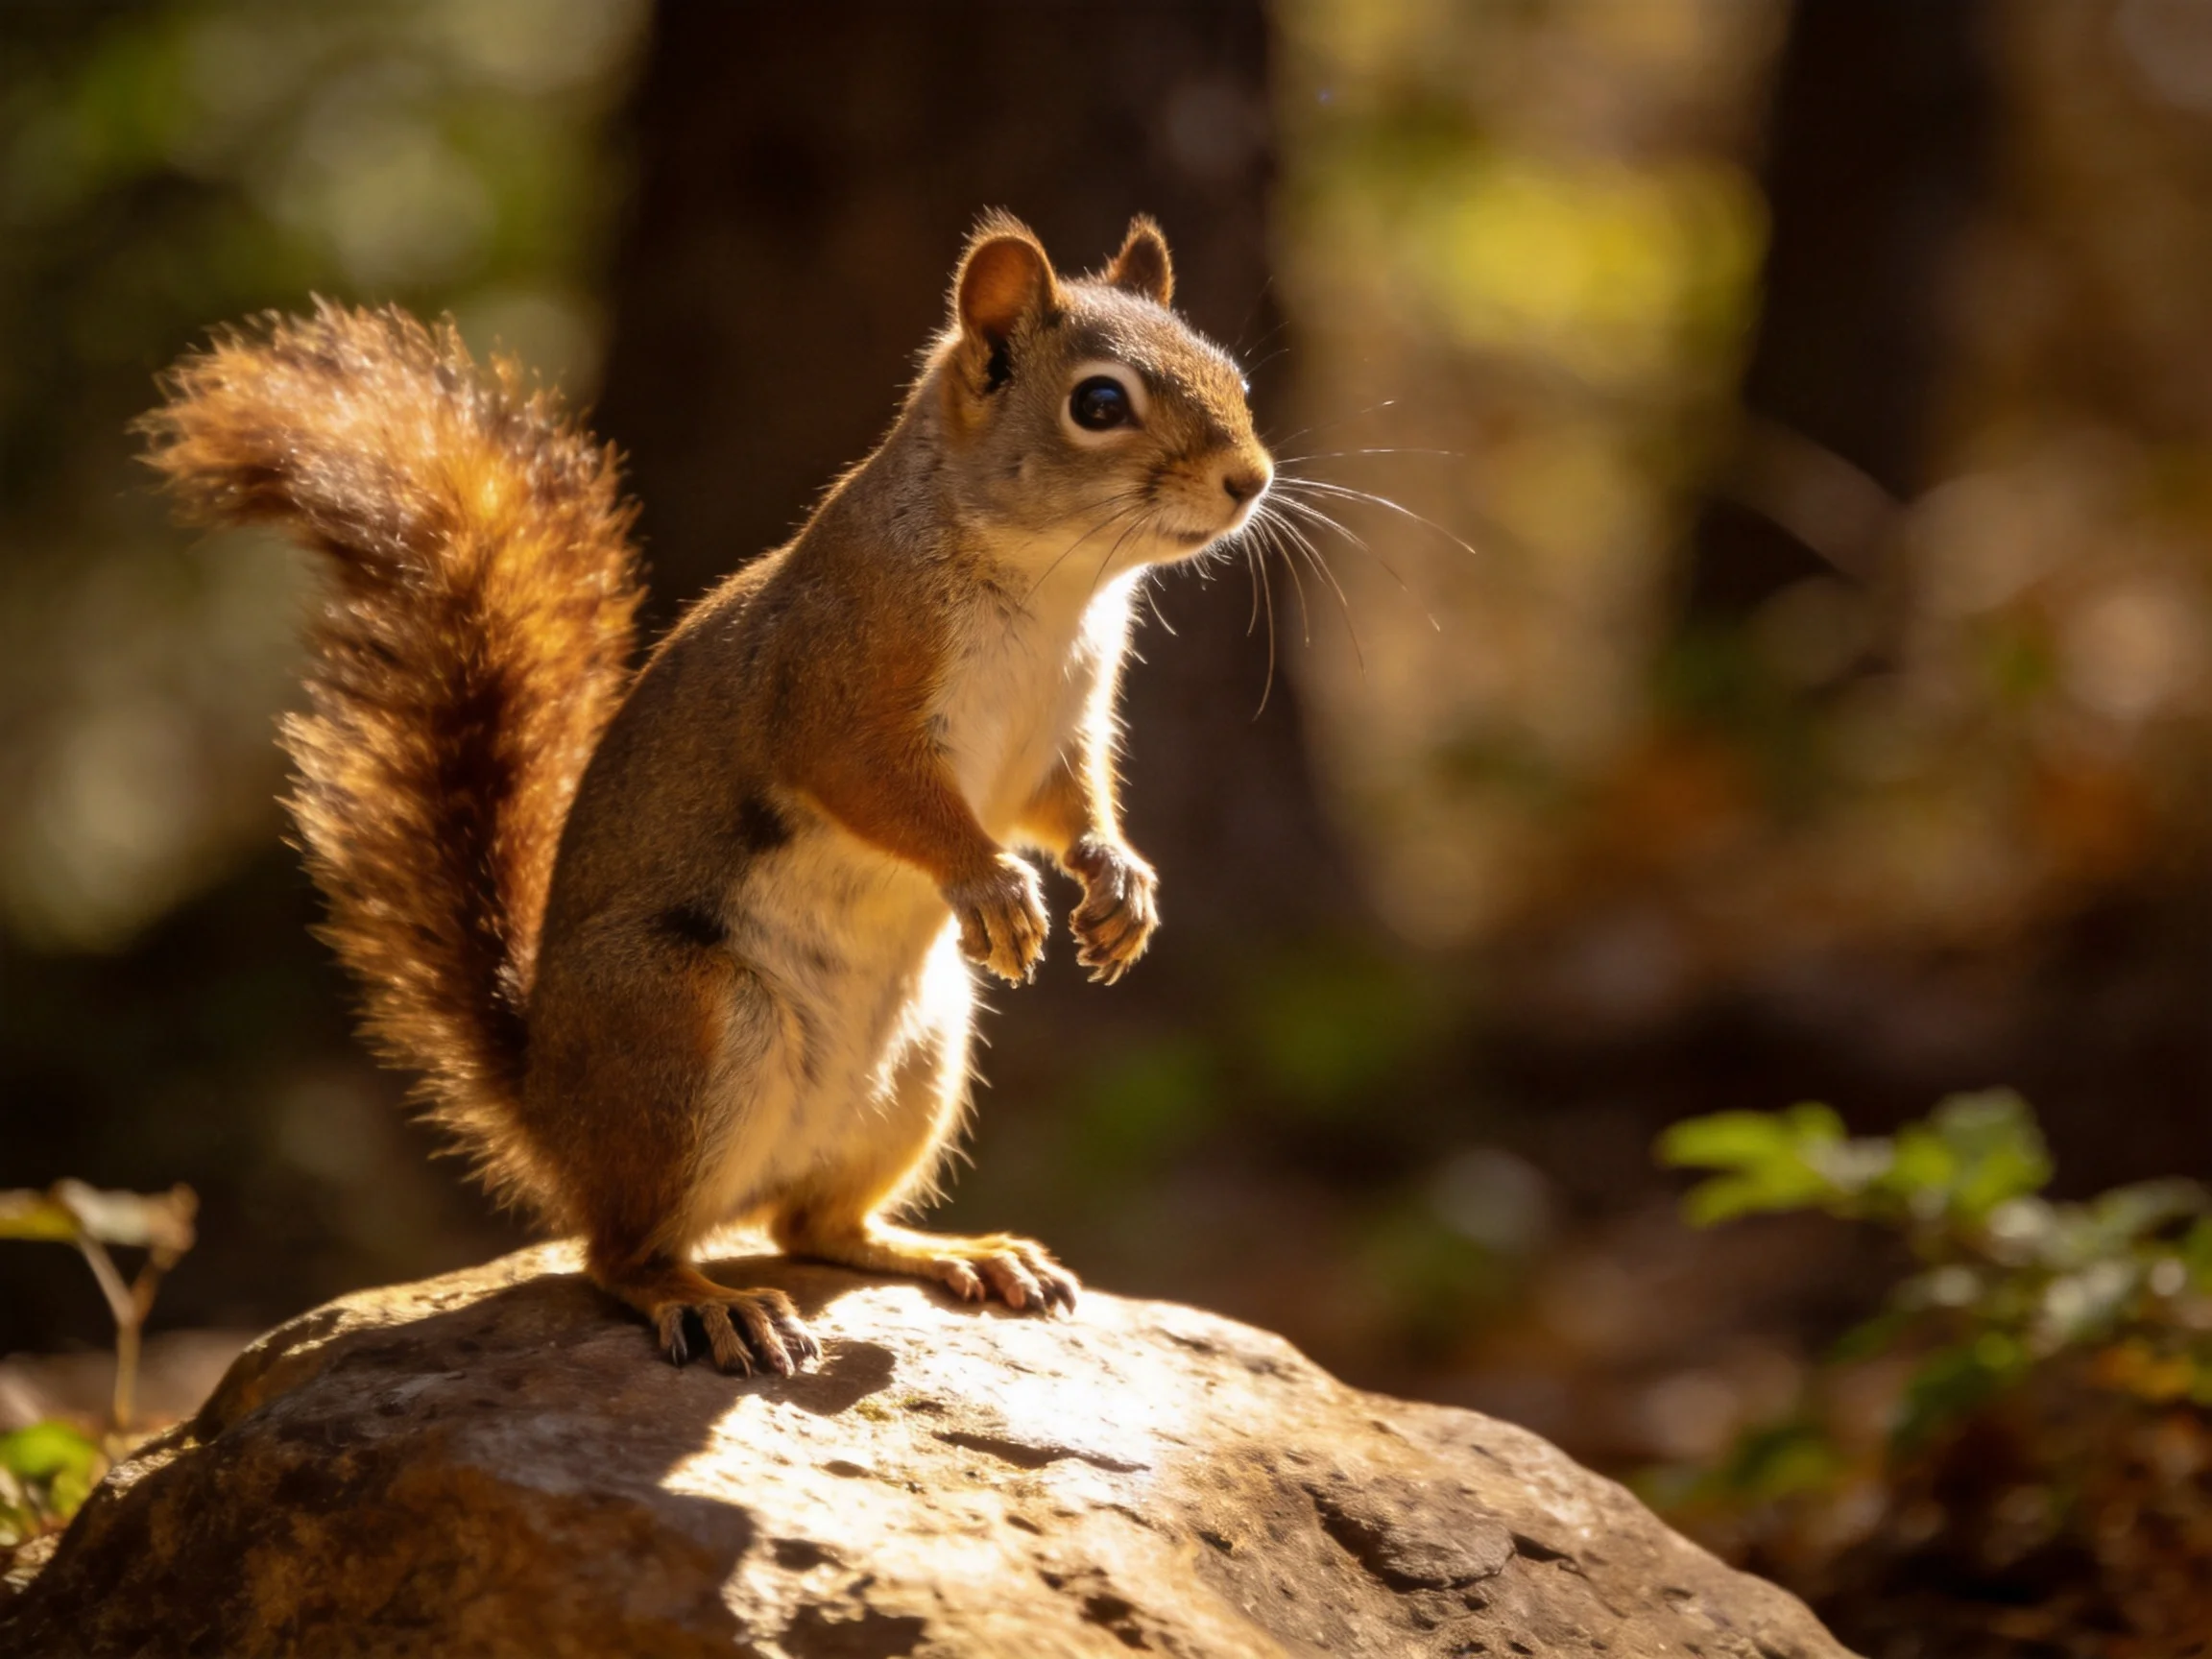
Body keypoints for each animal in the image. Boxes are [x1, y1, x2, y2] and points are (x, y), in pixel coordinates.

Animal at [140, 213, 1273, 1375]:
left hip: (922, 1058)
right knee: (621, 1252)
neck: (1054, 587)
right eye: (1100, 404)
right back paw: (710, 1302)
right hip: (686, 1027)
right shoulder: (835, 690)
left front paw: (1121, 885)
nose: (1252, 479)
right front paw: (991, 885)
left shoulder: (1061, 732)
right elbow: (889, 795)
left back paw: (958, 1253)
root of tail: (550, 1113)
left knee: (816, 1225)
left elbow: (1075, 805)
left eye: (1235, 378)